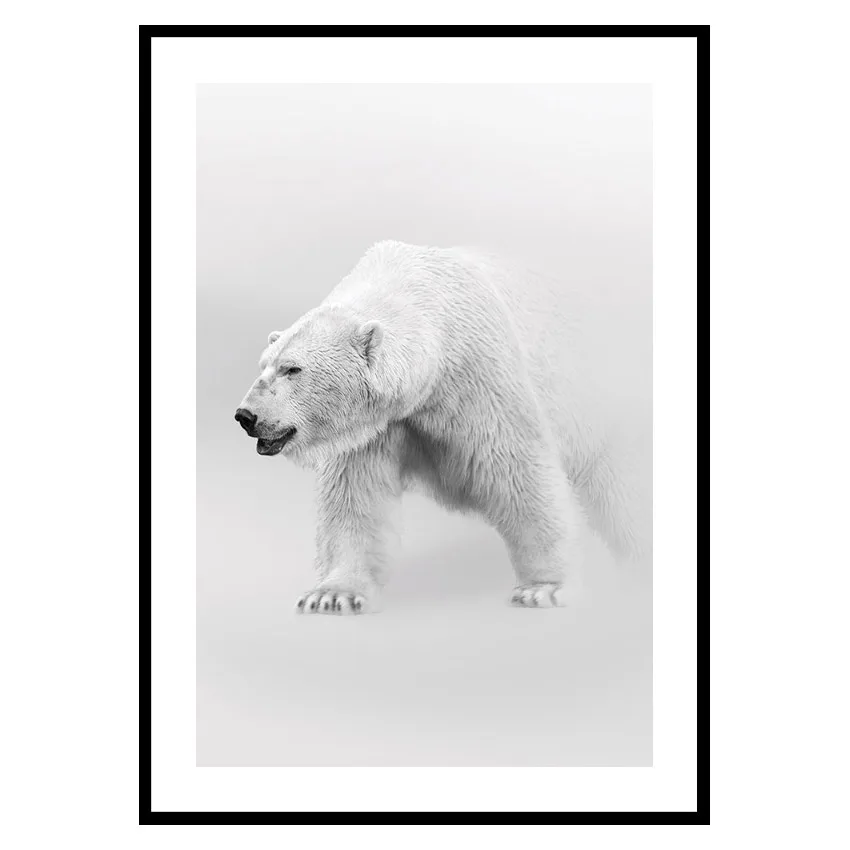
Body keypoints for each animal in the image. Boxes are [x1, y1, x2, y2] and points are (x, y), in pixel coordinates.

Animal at [235, 240, 649, 615]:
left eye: (292, 369)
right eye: (263, 365)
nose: (245, 416)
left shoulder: (478, 377)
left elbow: (519, 472)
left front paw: (544, 588)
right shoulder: (375, 426)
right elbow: (355, 496)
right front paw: (332, 594)